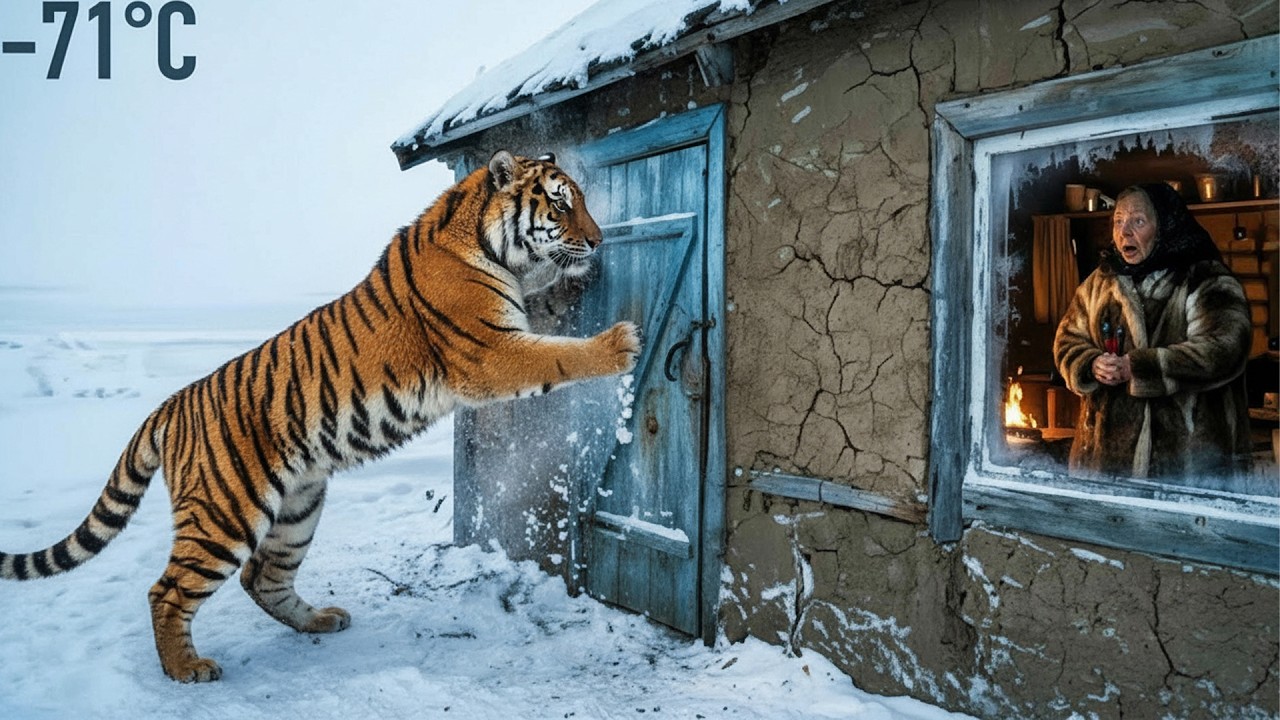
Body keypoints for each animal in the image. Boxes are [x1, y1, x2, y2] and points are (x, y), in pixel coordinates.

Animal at [0, 150, 640, 682]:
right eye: (561, 202)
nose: (598, 241)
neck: (486, 243)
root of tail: (171, 404)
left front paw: (572, 287)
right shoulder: (490, 353)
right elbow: (557, 353)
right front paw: (619, 344)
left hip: (298, 505)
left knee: (262, 577)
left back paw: (321, 621)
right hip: (224, 514)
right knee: (168, 590)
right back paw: (186, 669)